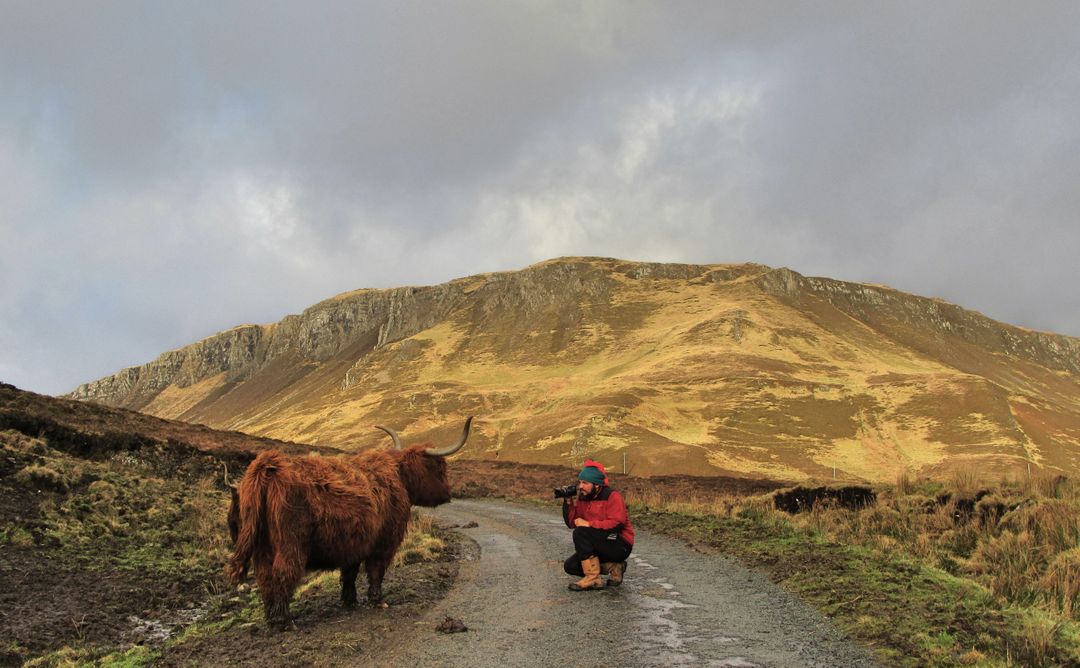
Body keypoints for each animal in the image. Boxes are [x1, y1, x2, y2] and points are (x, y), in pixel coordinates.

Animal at [224, 416, 473, 625]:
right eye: (439, 467)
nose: (448, 493)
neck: (397, 477)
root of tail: (268, 465)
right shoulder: (384, 542)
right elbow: (376, 571)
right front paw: (377, 600)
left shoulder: (352, 544)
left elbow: (350, 574)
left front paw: (349, 601)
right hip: (290, 543)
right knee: (283, 573)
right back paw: (284, 621)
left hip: (261, 545)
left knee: (265, 577)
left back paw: (270, 616)